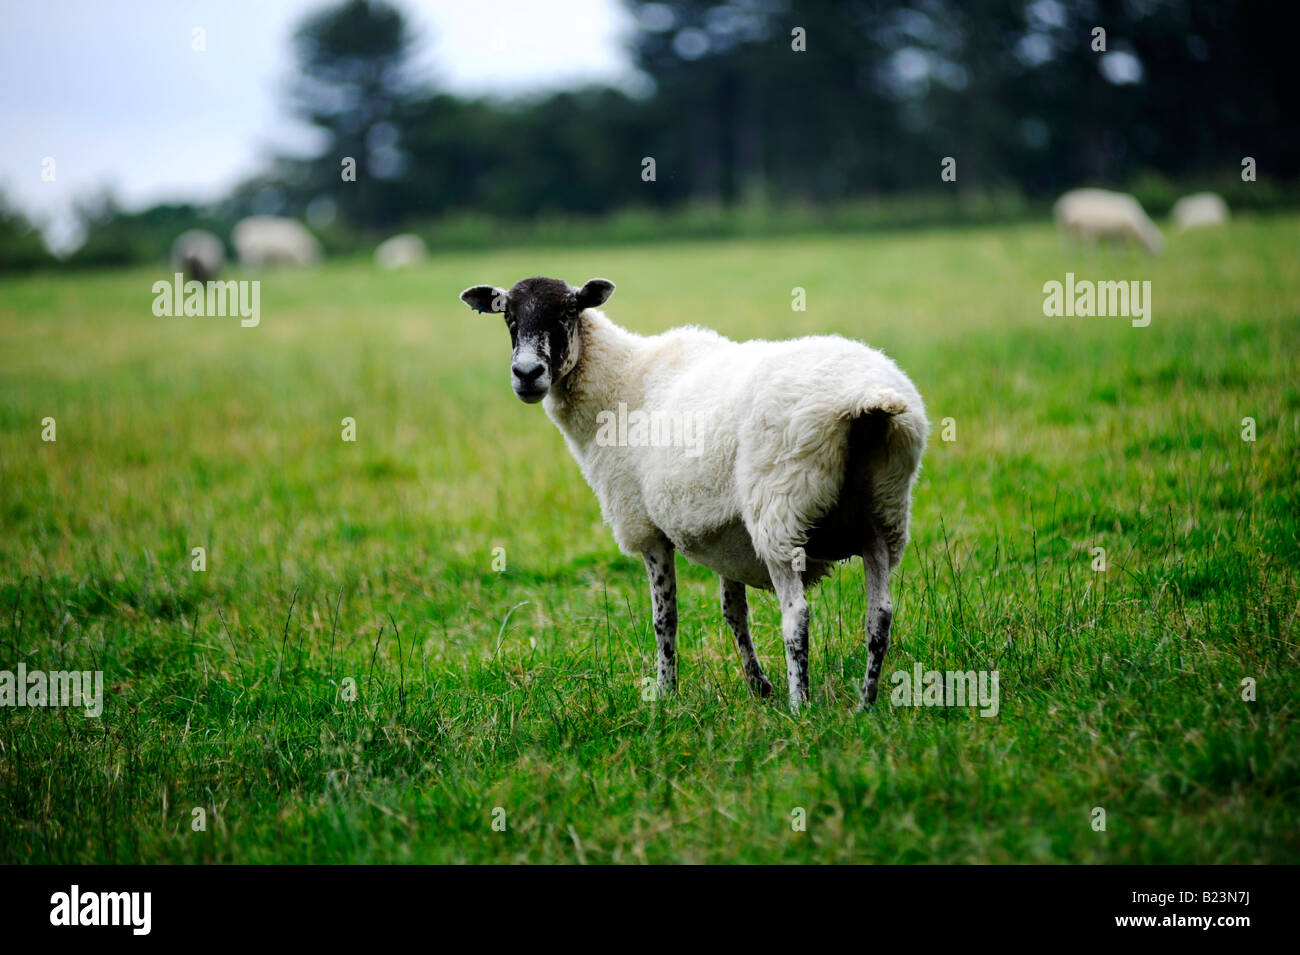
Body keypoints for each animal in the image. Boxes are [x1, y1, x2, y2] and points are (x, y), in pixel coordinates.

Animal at [457, 274, 925, 712]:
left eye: (569, 311)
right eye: (507, 315)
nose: (527, 374)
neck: (619, 380)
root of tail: (868, 399)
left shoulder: (646, 528)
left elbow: (665, 618)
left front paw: (665, 693)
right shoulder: (723, 531)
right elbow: (734, 612)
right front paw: (758, 687)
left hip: (780, 509)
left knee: (797, 615)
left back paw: (800, 706)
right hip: (883, 510)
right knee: (880, 614)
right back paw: (866, 705)